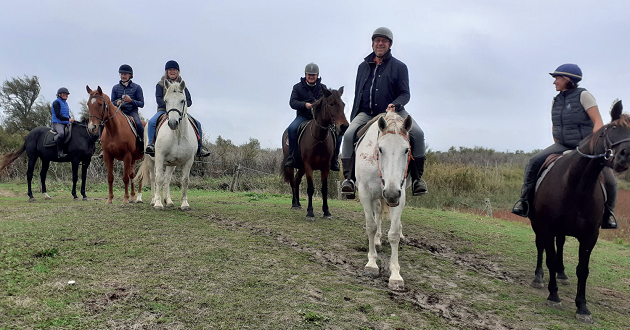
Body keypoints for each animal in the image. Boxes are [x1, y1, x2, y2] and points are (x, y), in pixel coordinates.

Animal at [135, 80, 198, 210]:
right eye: (166, 100)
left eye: (182, 100)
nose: (173, 123)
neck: (177, 135)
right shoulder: (159, 157)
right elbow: (158, 178)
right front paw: (158, 203)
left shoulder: (189, 160)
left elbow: (185, 180)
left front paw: (184, 204)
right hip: (151, 161)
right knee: (153, 178)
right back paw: (153, 200)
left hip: (171, 164)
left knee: (167, 179)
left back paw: (168, 201)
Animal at [282, 85, 350, 219]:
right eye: (331, 104)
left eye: (343, 104)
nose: (344, 126)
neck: (319, 138)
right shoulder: (309, 166)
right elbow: (310, 189)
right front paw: (310, 212)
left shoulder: (326, 167)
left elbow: (324, 189)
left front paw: (326, 211)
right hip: (292, 166)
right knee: (292, 182)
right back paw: (294, 204)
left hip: (301, 167)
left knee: (297, 181)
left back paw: (298, 203)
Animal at [356, 111, 414, 292]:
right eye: (380, 149)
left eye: (406, 150)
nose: (391, 193)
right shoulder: (365, 193)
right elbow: (371, 226)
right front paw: (371, 264)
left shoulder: (400, 196)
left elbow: (393, 234)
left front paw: (395, 275)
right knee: (377, 215)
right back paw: (376, 241)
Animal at [532, 99, 630, 324]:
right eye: (612, 128)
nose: (625, 156)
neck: (576, 185)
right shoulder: (547, 227)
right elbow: (549, 258)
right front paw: (553, 296)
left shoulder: (590, 236)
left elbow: (582, 270)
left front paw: (582, 307)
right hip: (537, 225)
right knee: (541, 248)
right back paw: (538, 277)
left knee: (560, 245)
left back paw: (562, 274)